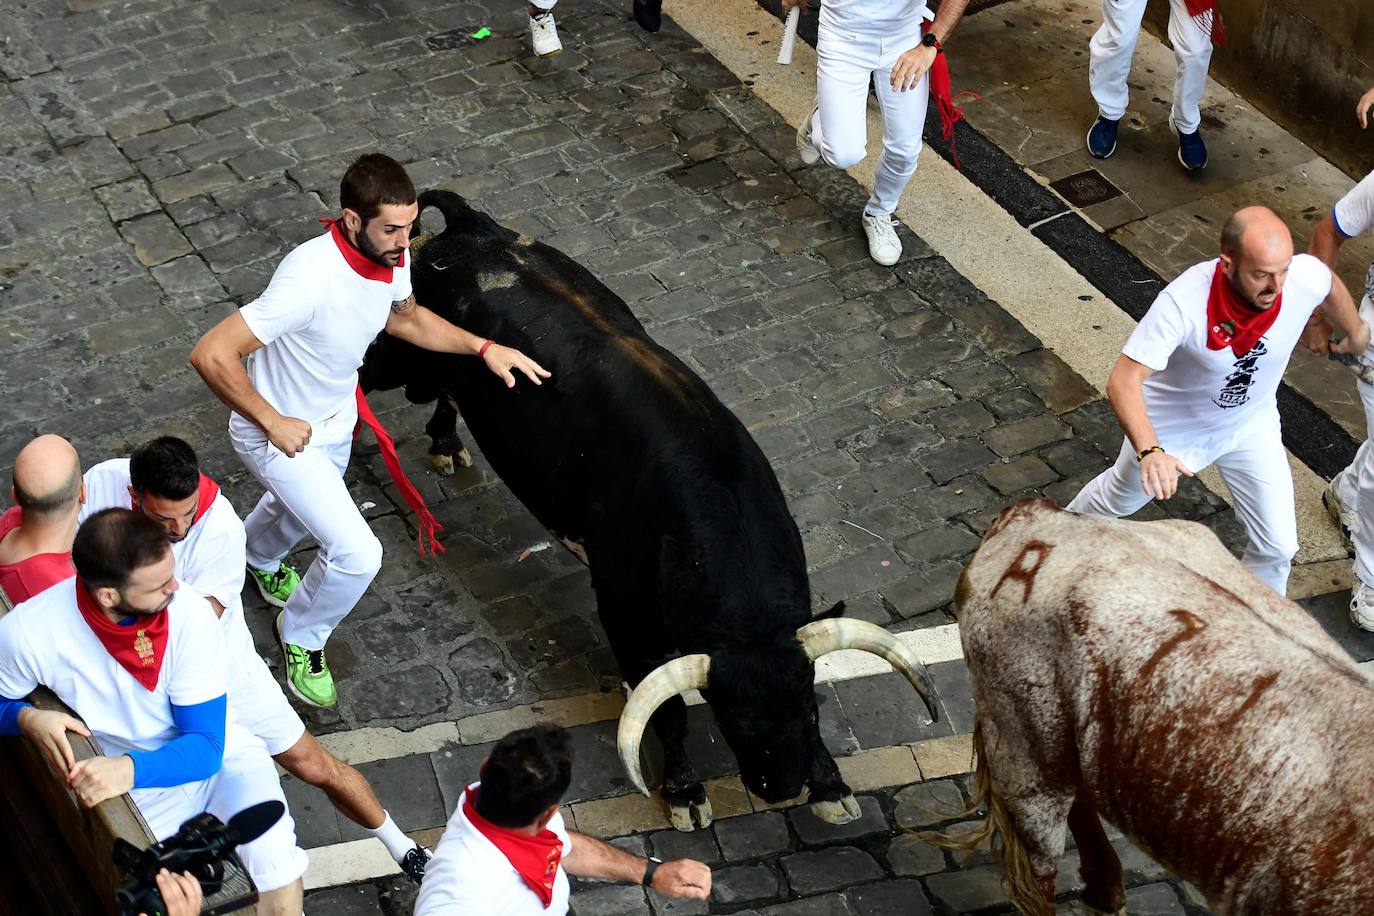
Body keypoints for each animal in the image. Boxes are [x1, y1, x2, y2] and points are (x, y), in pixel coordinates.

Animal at [354, 188, 939, 829]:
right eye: (733, 719)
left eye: (808, 708)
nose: (783, 788)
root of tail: (468, 223)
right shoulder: (624, 613)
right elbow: (667, 711)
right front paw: (684, 792)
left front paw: (830, 784)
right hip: (402, 353)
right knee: (359, 368)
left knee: (442, 397)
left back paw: (444, 442)